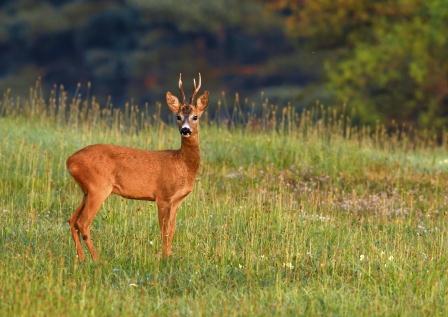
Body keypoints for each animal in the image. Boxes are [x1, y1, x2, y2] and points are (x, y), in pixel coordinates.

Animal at [66, 73, 208, 260]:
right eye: (177, 116)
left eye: (195, 116)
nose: (185, 130)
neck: (181, 163)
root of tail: (70, 161)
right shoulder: (163, 196)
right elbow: (164, 231)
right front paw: (164, 258)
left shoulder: (177, 200)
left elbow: (172, 229)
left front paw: (169, 256)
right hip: (98, 187)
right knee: (83, 222)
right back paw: (97, 260)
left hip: (86, 191)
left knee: (72, 220)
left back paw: (81, 259)